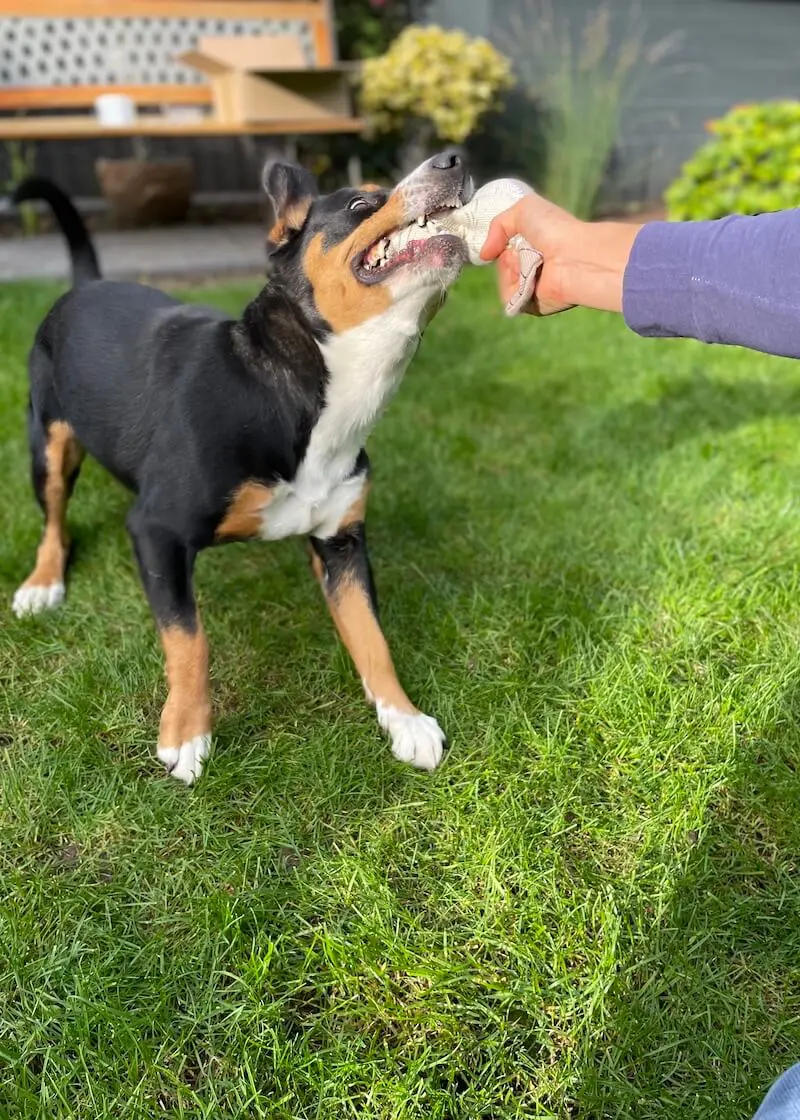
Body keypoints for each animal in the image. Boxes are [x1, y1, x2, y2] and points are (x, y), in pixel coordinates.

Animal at [9, 155, 470, 788]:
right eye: (360, 203)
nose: (455, 160)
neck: (295, 389)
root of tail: (84, 285)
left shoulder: (342, 543)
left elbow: (373, 639)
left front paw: (404, 718)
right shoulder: (156, 531)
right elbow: (189, 638)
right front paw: (185, 732)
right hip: (49, 444)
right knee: (55, 520)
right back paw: (43, 583)